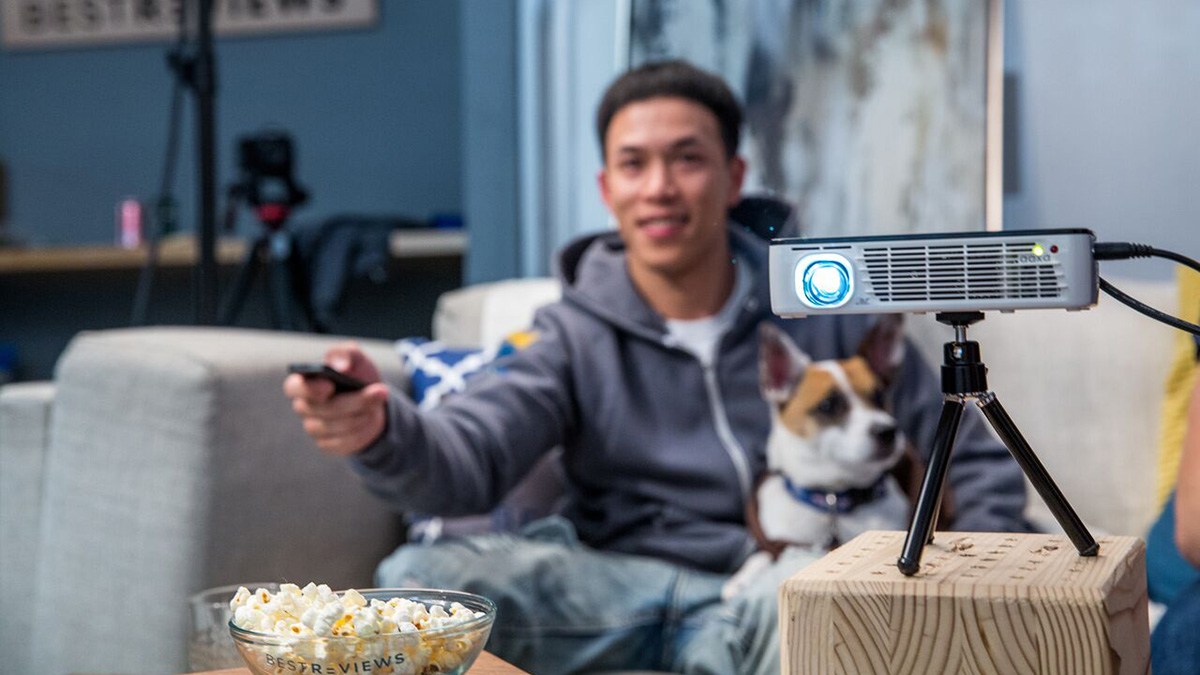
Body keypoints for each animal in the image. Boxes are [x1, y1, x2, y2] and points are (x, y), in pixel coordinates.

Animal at [720, 312, 945, 595]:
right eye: (828, 405)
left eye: (879, 395)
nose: (887, 431)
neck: (834, 500)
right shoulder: (781, 541)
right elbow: (763, 555)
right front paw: (742, 577)